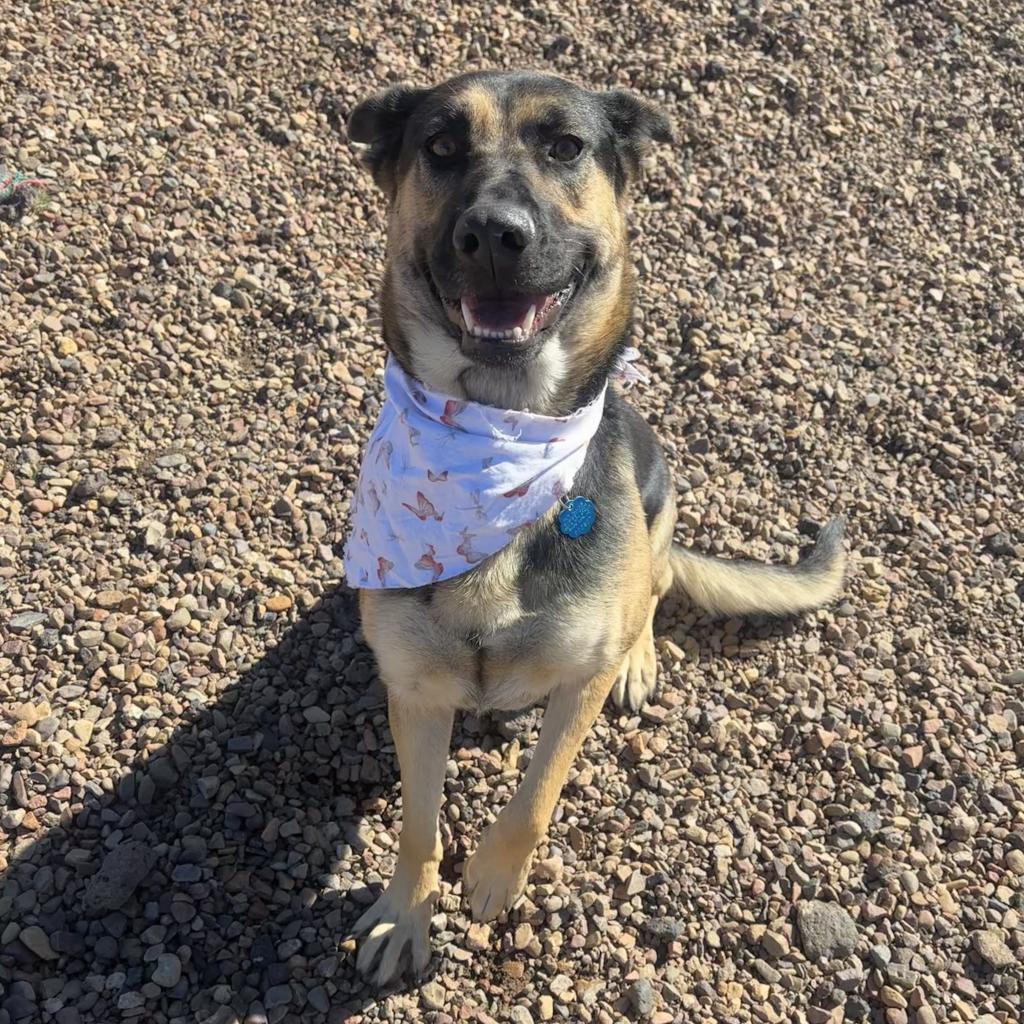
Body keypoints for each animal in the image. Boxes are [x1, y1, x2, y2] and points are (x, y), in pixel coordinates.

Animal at [339, 72, 843, 983]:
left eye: (565, 146)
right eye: (441, 146)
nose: (494, 235)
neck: (499, 438)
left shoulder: (577, 684)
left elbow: (536, 795)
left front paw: (495, 876)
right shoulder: (416, 693)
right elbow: (419, 824)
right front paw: (406, 911)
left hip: (661, 499)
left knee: (653, 586)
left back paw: (640, 654)